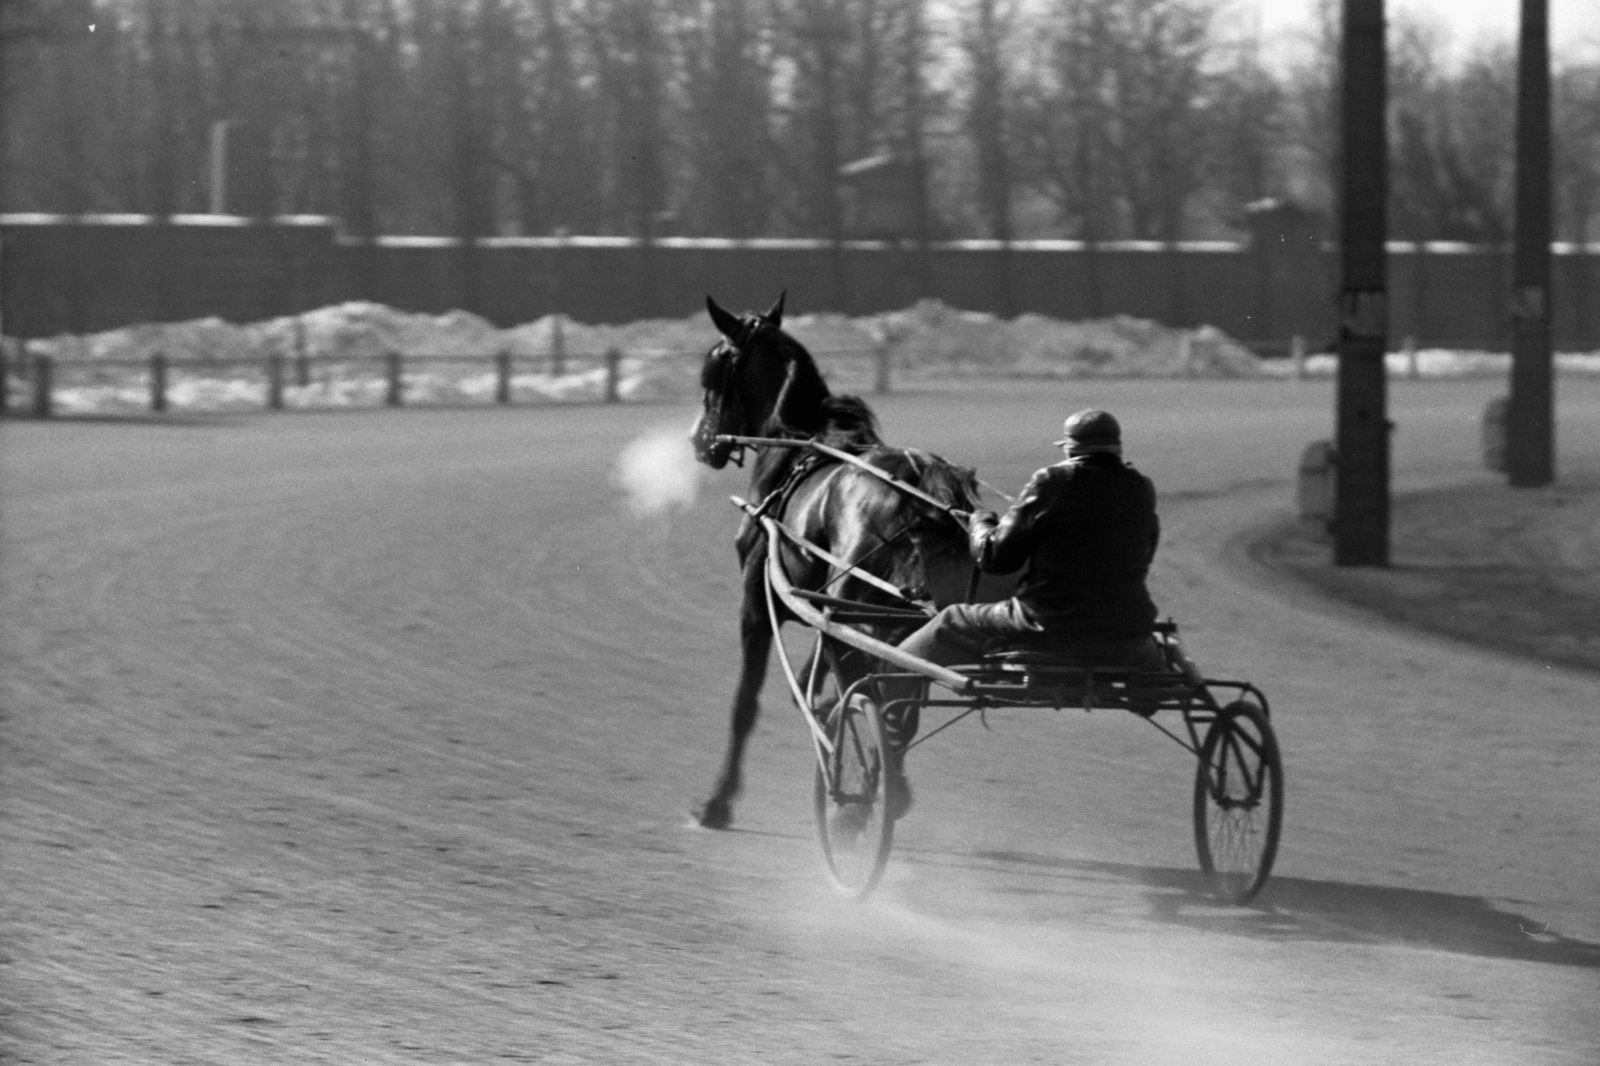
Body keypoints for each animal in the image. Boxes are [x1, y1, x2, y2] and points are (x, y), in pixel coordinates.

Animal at [691, 292, 979, 832]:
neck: (795, 450)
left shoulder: (757, 606)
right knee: (900, 692)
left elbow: (747, 703)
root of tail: (922, 485)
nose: (701, 440)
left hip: (859, 608)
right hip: (909, 616)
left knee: (882, 688)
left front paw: (717, 801)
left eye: (712, 373)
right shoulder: (822, 608)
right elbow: (815, 679)